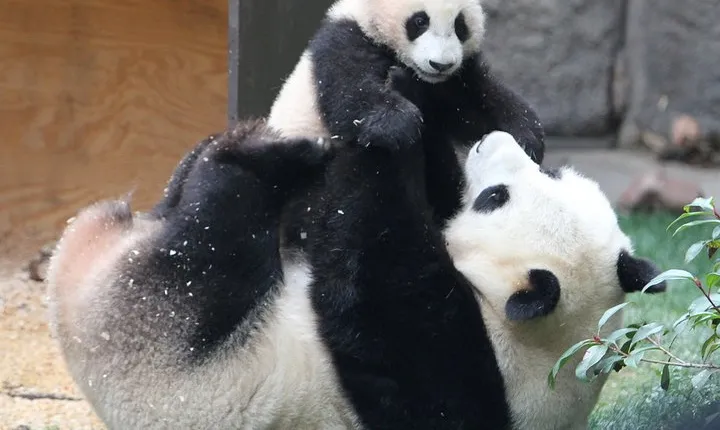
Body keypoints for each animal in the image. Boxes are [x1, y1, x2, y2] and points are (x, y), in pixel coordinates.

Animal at [47, 121, 664, 429]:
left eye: (494, 198)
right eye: (552, 170)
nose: (495, 139)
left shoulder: (452, 368)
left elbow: (372, 276)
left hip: (164, 336)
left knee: (210, 237)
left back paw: (254, 155)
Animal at [267, 0, 545, 226]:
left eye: (460, 25)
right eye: (420, 21)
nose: (441, 64)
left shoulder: (452, 81)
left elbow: (474, 105)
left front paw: (526, 137)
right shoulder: (345, 41)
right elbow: (352, 94)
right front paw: (398, 124)